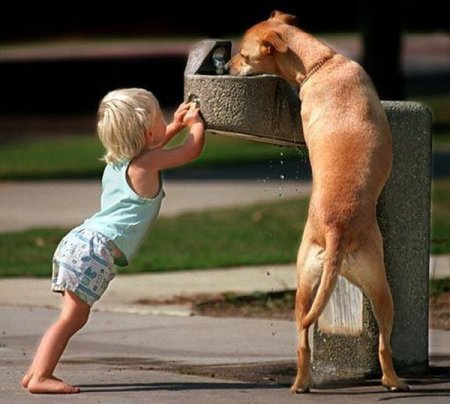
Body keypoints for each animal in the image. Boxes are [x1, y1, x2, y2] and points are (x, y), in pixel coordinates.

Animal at [230, 10, 410, 394]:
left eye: (245, 55)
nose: (229, 66)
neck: (321, 64)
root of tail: (335, 231)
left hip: (305, 284)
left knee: (302, 341)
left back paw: (301, 383)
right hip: (381, 288)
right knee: (383, 344)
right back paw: (393, 382)